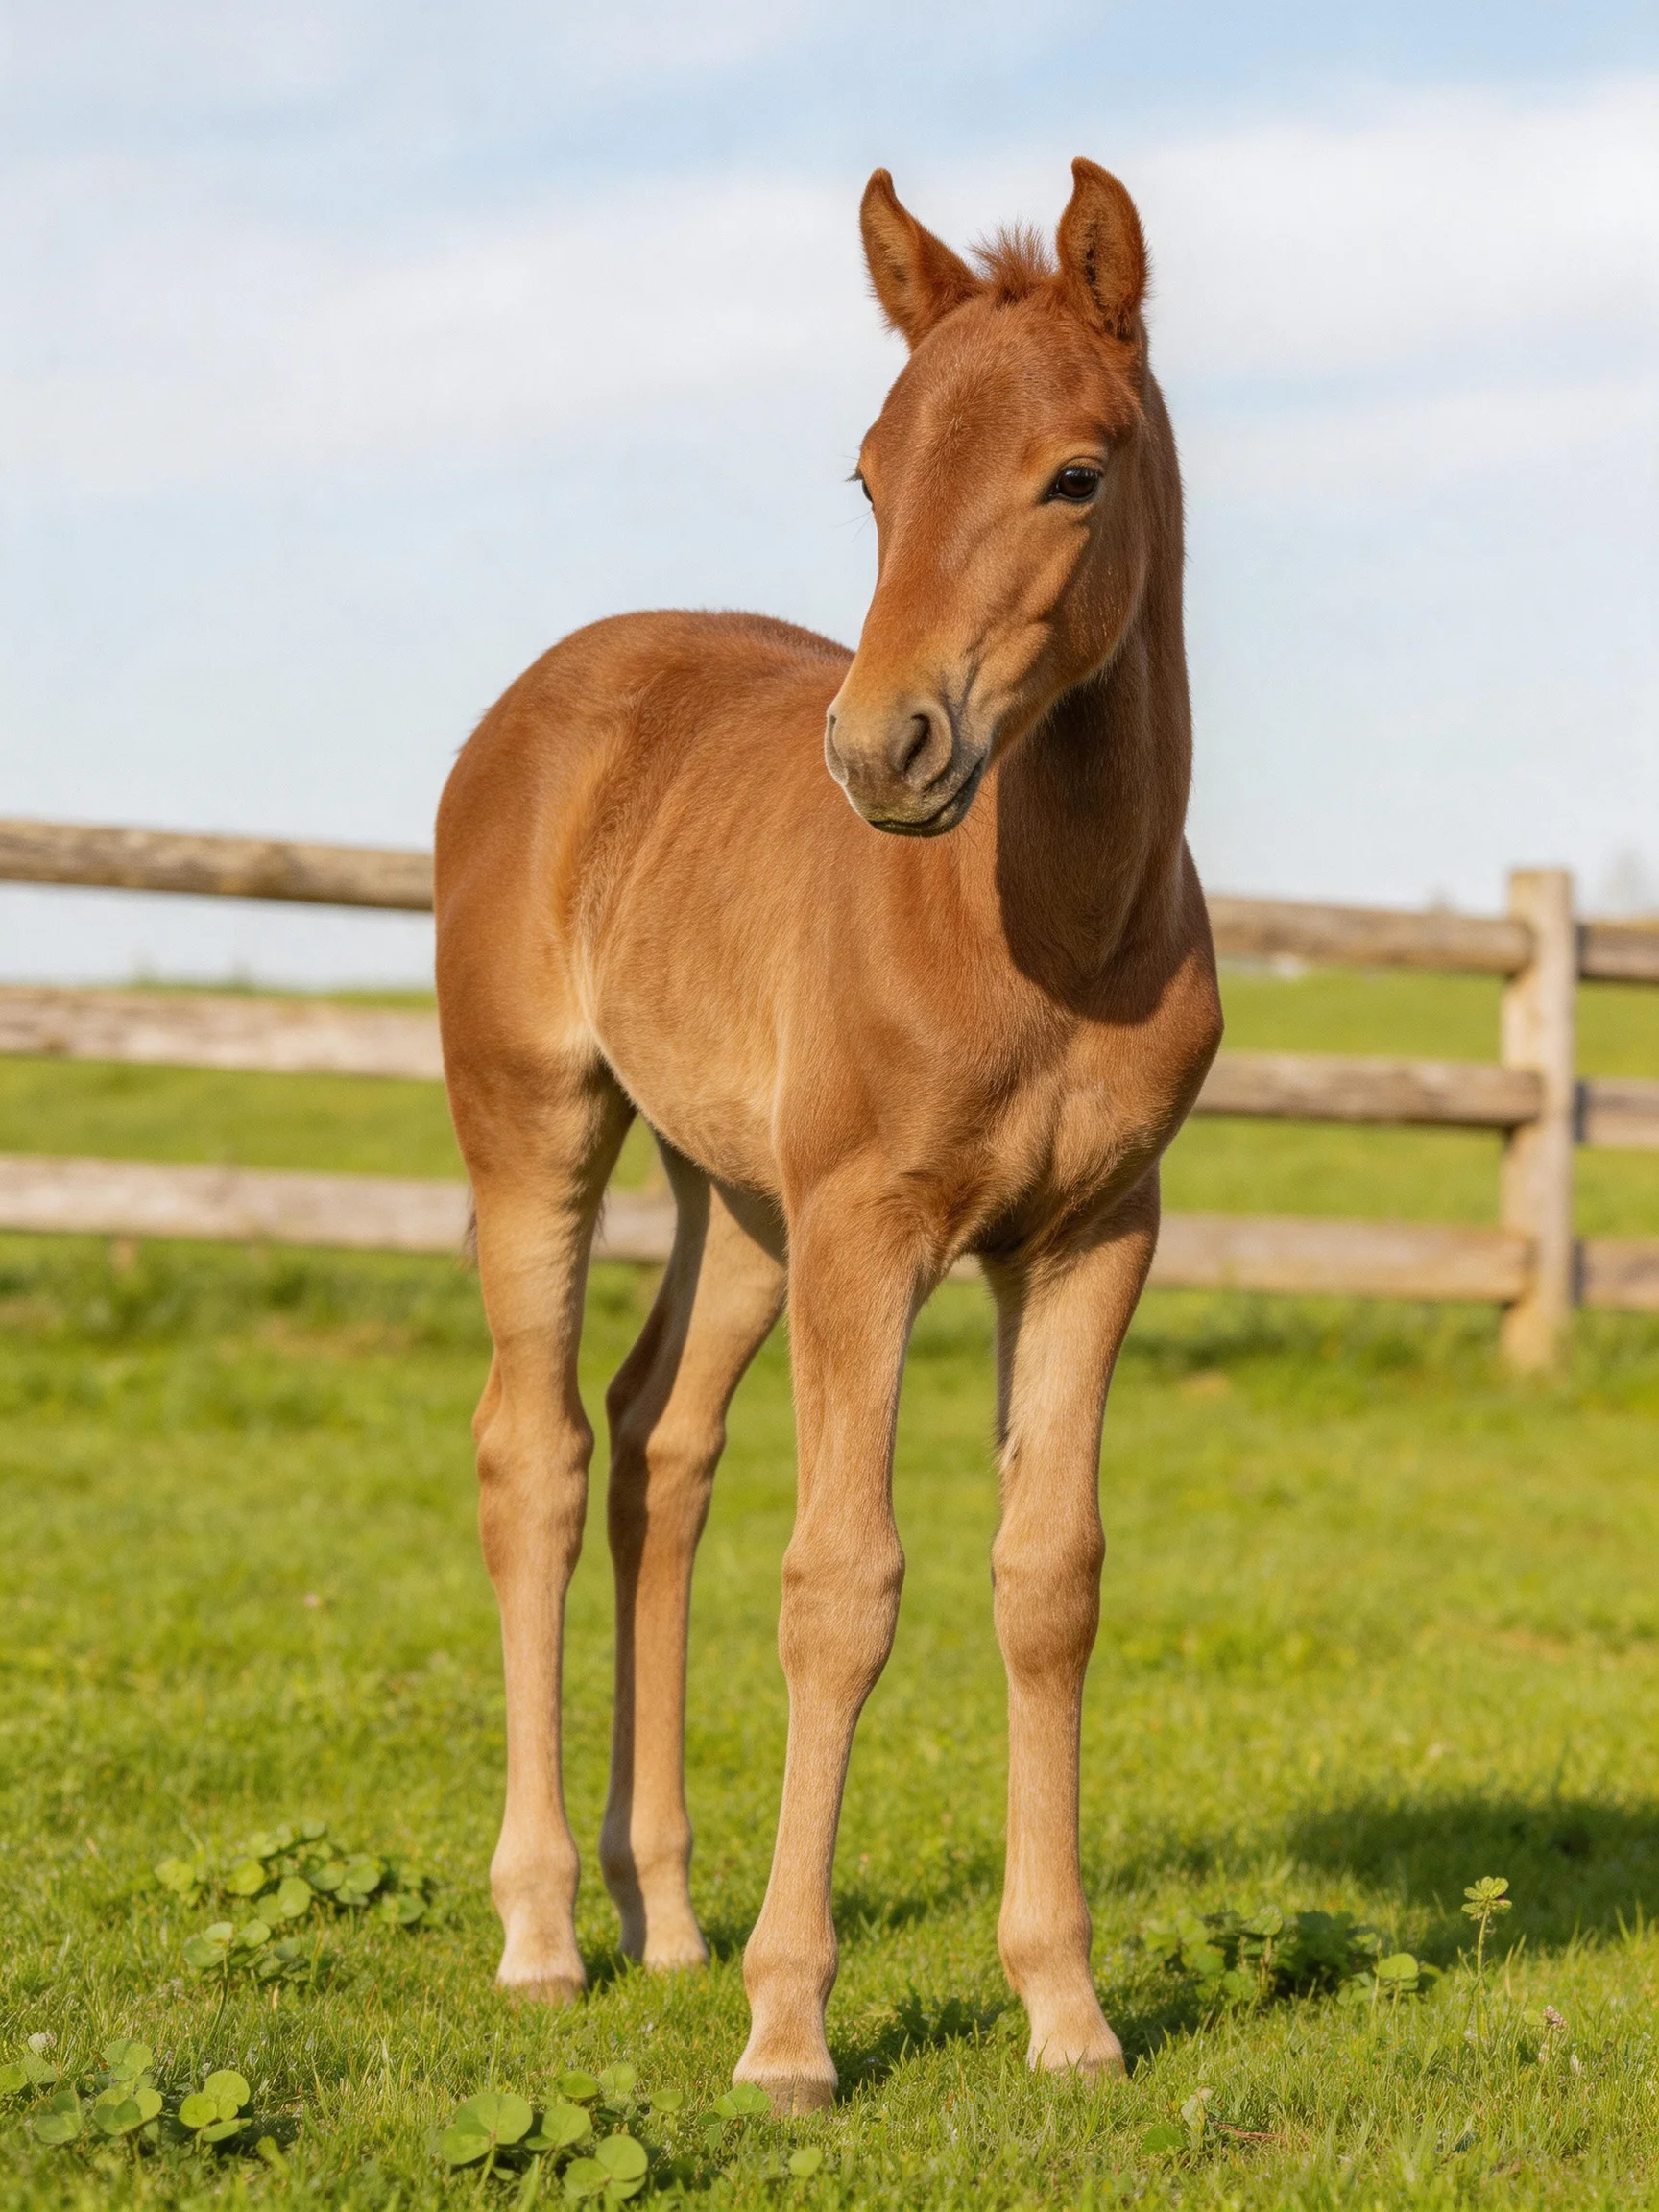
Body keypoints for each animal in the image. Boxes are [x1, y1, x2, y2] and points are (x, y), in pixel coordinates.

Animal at [434, 157, 1222, 2112]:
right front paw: (790, 2031)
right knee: (536, 1452)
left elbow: (1048, 1579)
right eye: (869, 474)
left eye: (1074, 473)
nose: (881, 752)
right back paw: (545, 1931)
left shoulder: (1094, 1235)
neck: (1046, 936)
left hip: (739, 1199)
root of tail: (545, 691)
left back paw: (663, 1913)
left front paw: (1067, 2010)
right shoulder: (874, 1228)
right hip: (539, 1124)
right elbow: (841, 1583)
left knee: (659, 1445)